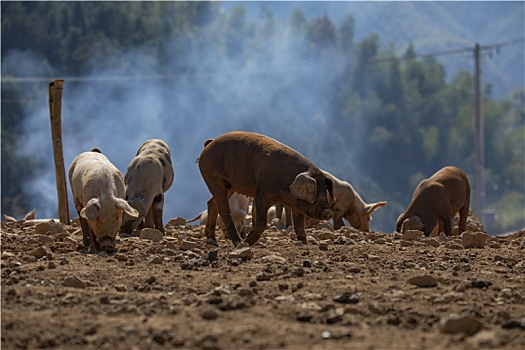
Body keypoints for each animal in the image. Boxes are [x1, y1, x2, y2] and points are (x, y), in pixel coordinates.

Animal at [199, 130, 334, 247]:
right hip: (213, 178)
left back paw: (213, 240)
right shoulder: (262, 194)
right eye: (315, 193)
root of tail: (209, 144)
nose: (328, 212)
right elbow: (262, 222)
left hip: (230, 186)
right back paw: (238, 242)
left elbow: (300, 228)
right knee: (223, 210)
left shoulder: (297, 206)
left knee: (212, 203)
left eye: (325, 191)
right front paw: (248, 242)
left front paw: (305, 244)